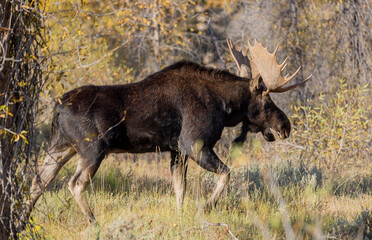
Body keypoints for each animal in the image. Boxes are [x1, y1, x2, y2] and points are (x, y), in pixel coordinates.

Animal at [25, 38, 310, 224]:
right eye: (267, 100)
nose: (285, 126)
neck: (225, 106)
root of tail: (57, 108)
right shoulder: (193, 144)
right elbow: (226, 174)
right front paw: (204, 208)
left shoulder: (176, 151)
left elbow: (179, 189)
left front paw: (181, 215)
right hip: (92, 148)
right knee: (74, 184)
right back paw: (93, 220)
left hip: (60, 147)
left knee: (38, 182)